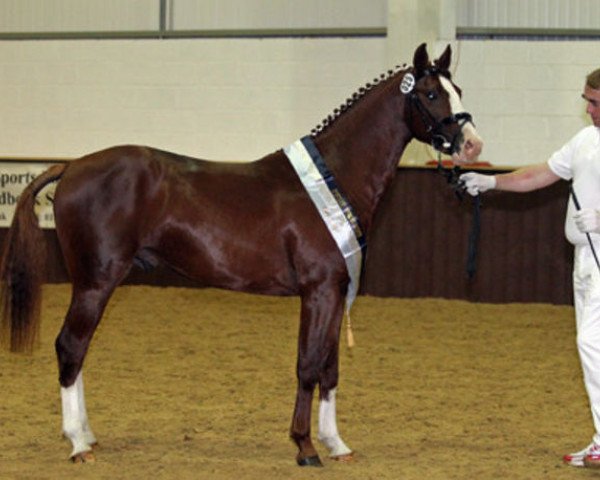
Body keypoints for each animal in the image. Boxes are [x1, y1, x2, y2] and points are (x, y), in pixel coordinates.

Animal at [0, 44, 482, 464]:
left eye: (458, 89)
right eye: (431, 93)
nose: (472, 145)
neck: (335, 177)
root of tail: (72, 166)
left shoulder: (335, 291)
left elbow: (329, 368)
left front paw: (336, 444)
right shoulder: (318, 291)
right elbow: (308, 365)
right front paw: (305, 447)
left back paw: (87, 436)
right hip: (95, 282)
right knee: (71, 347)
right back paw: (78, 443)